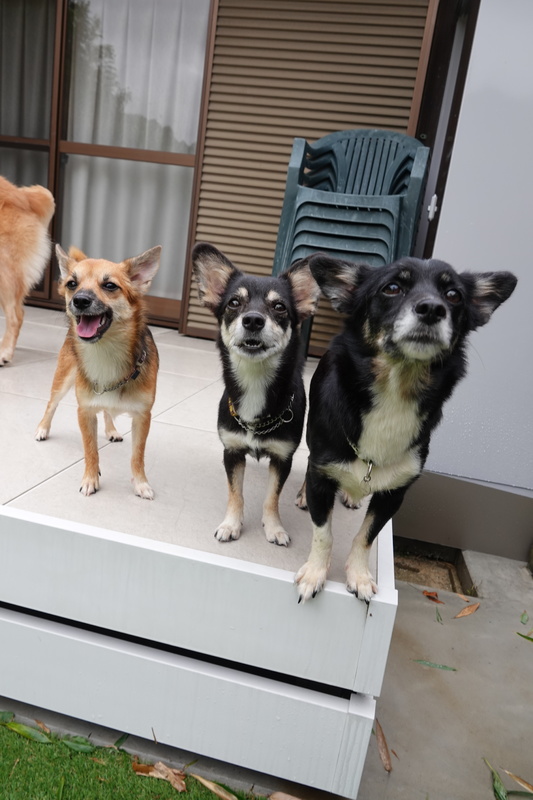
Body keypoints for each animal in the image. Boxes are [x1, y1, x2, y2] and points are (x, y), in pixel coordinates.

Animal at [35, 244, 161, 499]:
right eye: (72, 284)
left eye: (110, 286)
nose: (80, 300)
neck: (106, 353)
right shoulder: (84, 412)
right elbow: (91, 450)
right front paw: (90, 479)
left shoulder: (143, 417)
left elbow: (138, 455)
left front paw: (140, 483)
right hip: (63, 379)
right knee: (51, 404)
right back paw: (43, 428)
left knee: (106, 411)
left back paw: (111, 429)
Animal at [192, 242, 320, 545]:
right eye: (234, 303)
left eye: (279, 307)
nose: (252, 320)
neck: (255, 381)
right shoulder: (232, 452)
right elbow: (235, 493)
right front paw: (231, 524)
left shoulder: (283, 457)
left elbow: (271, 497)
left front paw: (274, 527)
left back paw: (304, 495)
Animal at [295, 253, 517, 602]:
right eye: (392, 288)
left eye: (453, 296)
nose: (432, 308)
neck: (396, 387)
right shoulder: (323, 469)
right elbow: (324, 533)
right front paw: (315, 573)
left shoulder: (393, 495)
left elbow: (366, 536)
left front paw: (359, 575)